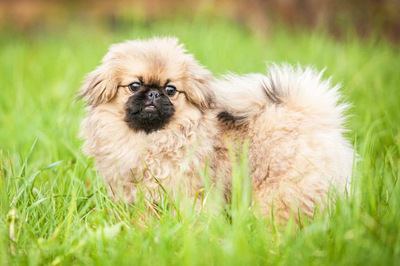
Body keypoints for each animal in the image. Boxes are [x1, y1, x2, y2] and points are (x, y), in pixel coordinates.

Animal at [79, 37, 354, 220]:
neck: (152, 138)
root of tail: (310, 116)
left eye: (171, 90)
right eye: (135, 86)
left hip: (280, 192)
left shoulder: (186, 192)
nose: (154, 94)